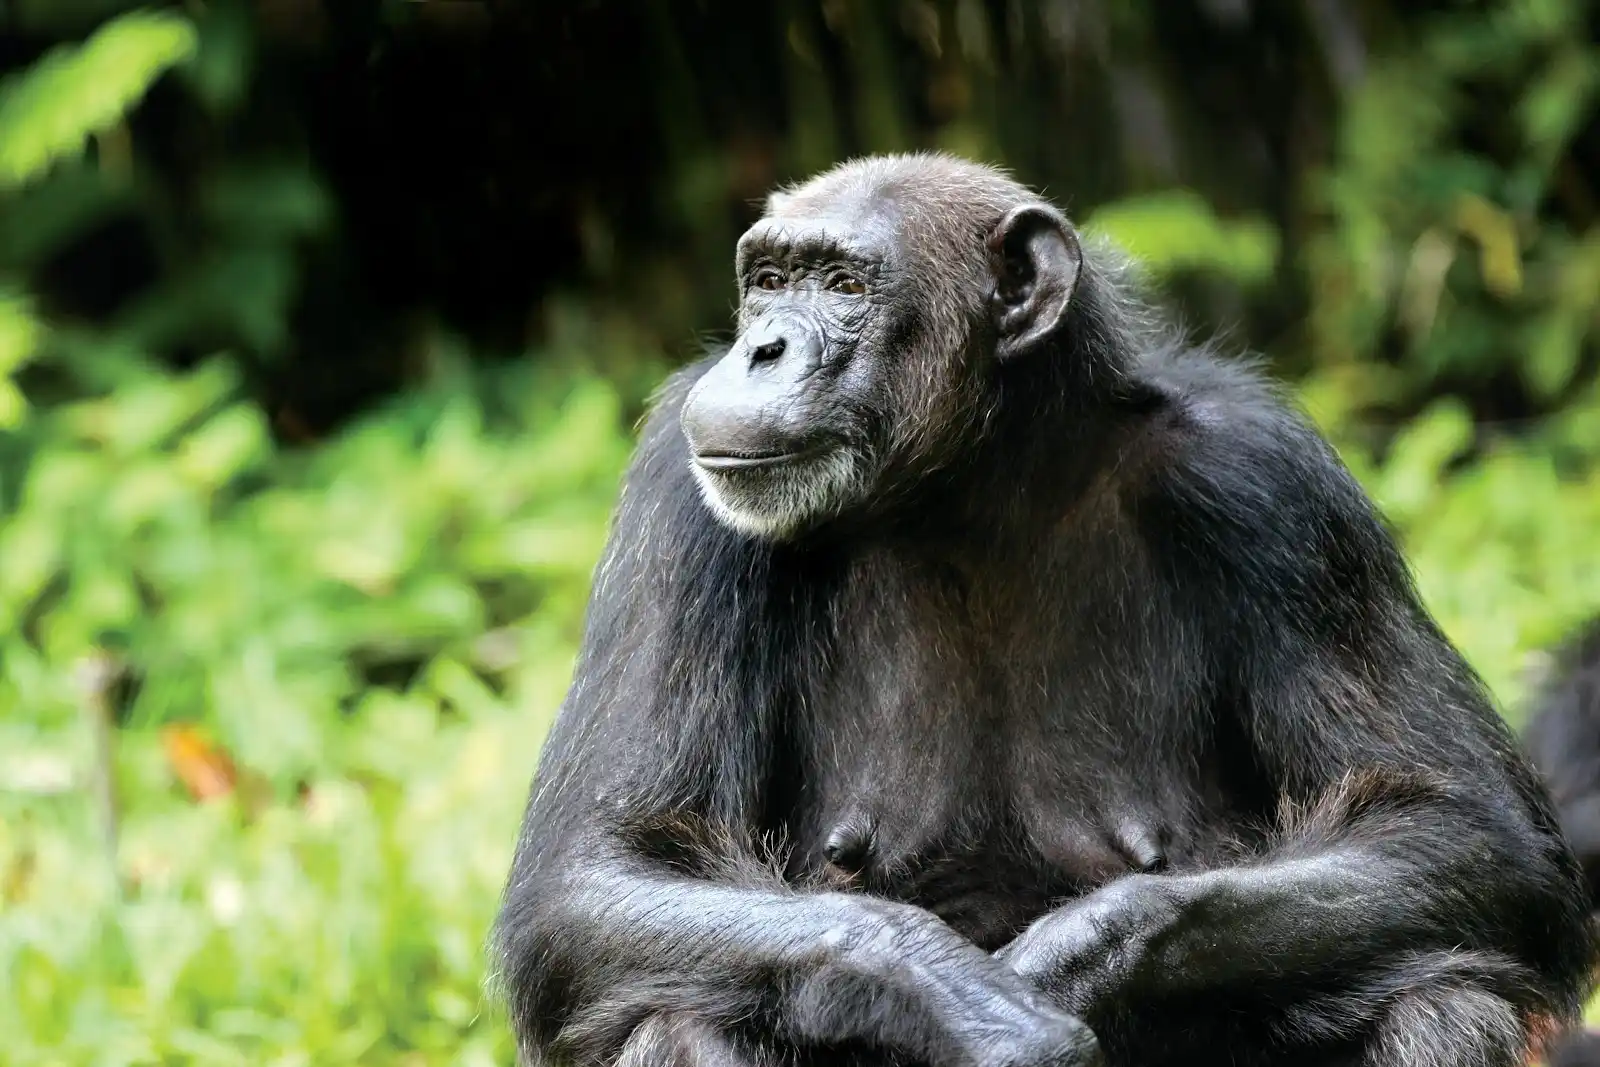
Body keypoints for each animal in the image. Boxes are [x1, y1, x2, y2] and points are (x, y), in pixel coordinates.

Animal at [492, 151, 1593, 1067]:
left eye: (844, 286)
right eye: (767, 280)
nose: (762, 347)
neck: (969, 489)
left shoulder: (1278, 491)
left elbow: (1463, 824)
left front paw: (1075, 957)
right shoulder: (679, 512)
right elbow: (602, 865)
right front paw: (950, 993)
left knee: (1440, 995)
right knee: (680, 1014)